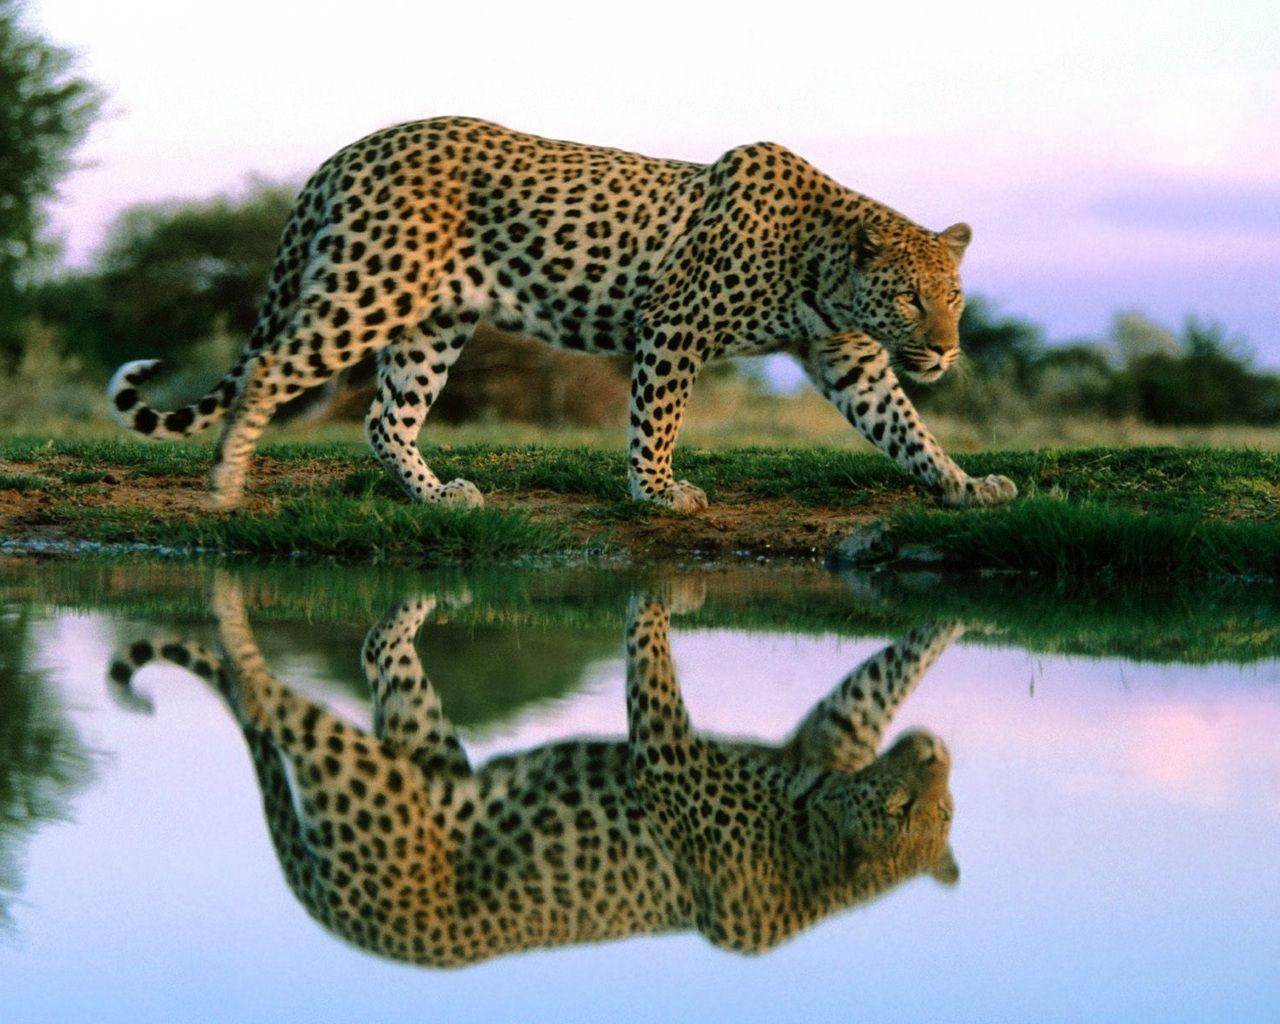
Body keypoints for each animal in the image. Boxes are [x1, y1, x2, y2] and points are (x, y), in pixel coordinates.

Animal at [107, 116, 1016, 512]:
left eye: (954, 298)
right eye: (908, 296)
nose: (945, 351)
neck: (822, 264)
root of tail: (349, 150)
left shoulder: (848, 359)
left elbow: (905, 427)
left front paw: (964, 483)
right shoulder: (675, 325)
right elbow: (657, 418)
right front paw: (657, 492)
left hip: (433, 322)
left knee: (384, 416)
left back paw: (436, 496)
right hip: (369, 290)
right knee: (268, 368)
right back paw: (224, 485)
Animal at [108, 574, 961, 966]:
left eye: (943, 813)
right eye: (901, 810)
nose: (936, 752)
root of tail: (345, 924)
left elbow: (874, 681)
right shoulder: (672, 756)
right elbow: (652, 663)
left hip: (402, 758)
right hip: (371, 776)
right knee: (268, 694)